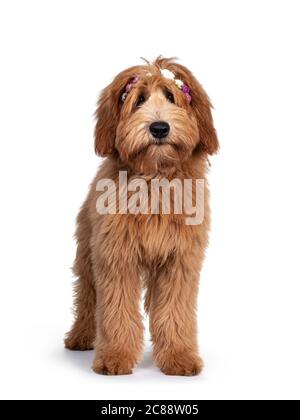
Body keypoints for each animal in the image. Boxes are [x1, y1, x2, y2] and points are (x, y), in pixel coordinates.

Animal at [65, 57, 218, 376]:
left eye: (172, 96)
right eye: (139, 100)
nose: (159, 127)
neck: (155, 177)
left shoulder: (180, 260)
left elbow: (175, 311)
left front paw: (179, 356)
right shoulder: (116, 257)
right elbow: (117, 311)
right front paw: (115, 356)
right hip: (87, 254)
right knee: (86, 296)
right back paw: (81, 337)